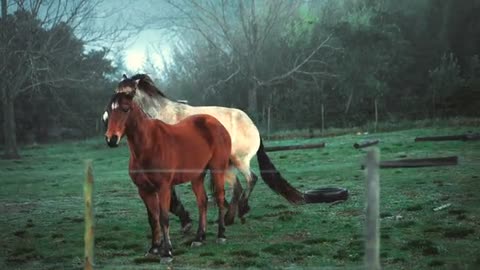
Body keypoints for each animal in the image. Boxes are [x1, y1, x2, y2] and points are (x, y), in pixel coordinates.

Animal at [103, 88, 232, 262]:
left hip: (218, 170)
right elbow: (153, 219)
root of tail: (216, 123)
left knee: (219, 198)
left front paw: (167, 252)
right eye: (109, 111)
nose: (111, 139)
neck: (149, 145)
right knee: (202, 202)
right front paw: (154, 248)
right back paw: (199, 238)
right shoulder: (144, 190)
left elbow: (164, 218)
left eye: (125, 109)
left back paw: (221, 235)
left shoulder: (163, 188)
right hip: (197, 176)